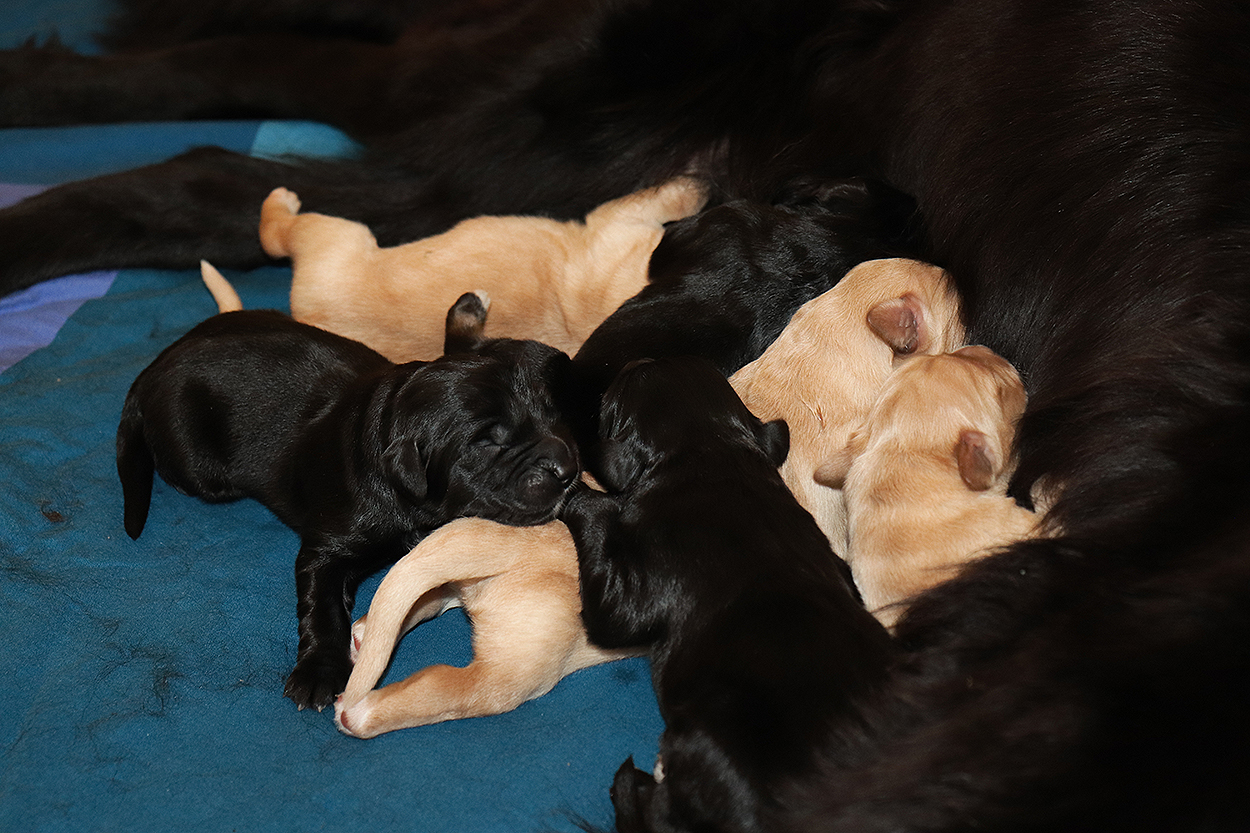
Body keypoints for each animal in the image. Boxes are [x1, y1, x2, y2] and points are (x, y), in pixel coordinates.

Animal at [116, 292, 580, 710]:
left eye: (549, 412)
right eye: (487, 443)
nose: (567, 468)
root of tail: (154, 366)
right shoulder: (328, 547)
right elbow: (321, 606)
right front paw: (319, 672)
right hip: (198, 464)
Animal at [333, 516, 633, 738]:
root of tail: (517, 546)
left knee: (425, 600)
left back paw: (364, 636)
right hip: (511, 675)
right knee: (444, 686)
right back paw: (356, 715)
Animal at [561, 356, 894, 833]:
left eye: (621, 388)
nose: (644, 357)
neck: (711, 452)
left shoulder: (624, 594)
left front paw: (577, 492)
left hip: (702, 740)